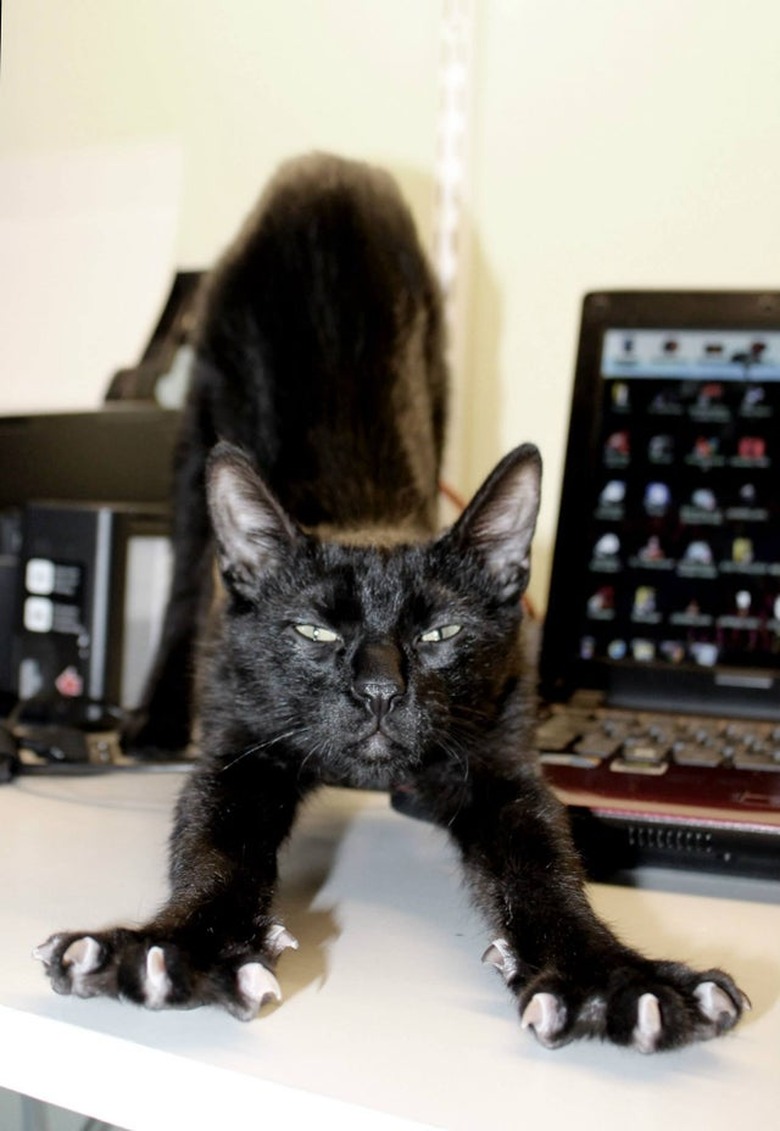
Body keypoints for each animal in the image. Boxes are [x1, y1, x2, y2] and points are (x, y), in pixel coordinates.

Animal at [37, 152, 746, 1049]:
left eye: (440, 632)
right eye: (312, 630)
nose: (377, 690)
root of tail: (326, 168)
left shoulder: (497, 760)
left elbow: (546, 863)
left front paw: (611, 980)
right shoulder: (244, 745)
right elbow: (214, 844)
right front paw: (176, 947)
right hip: (195, 434)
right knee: (185, 579)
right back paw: (155, 720)